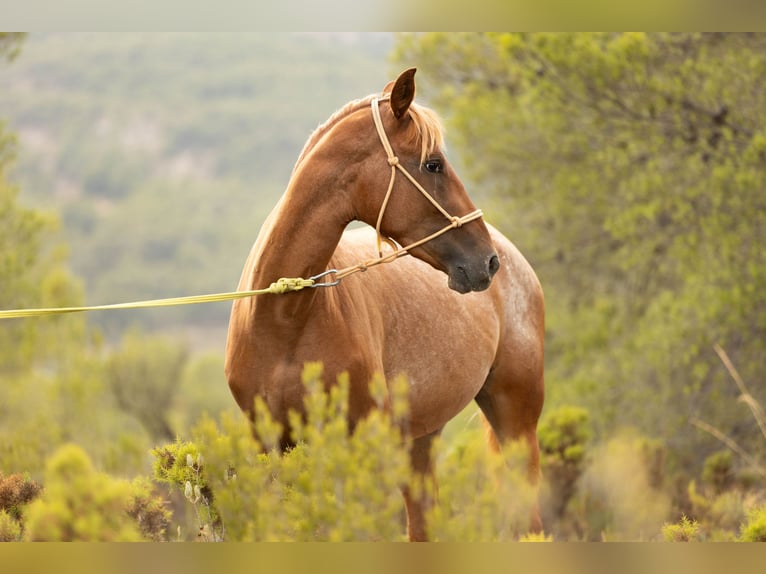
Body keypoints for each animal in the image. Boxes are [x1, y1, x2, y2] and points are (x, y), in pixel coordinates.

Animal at [224, 68, 545, 541]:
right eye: (433, 164)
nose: (486, 261)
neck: (284, 319)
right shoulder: (269, 447)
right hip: (421, 443)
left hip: (517, 420)